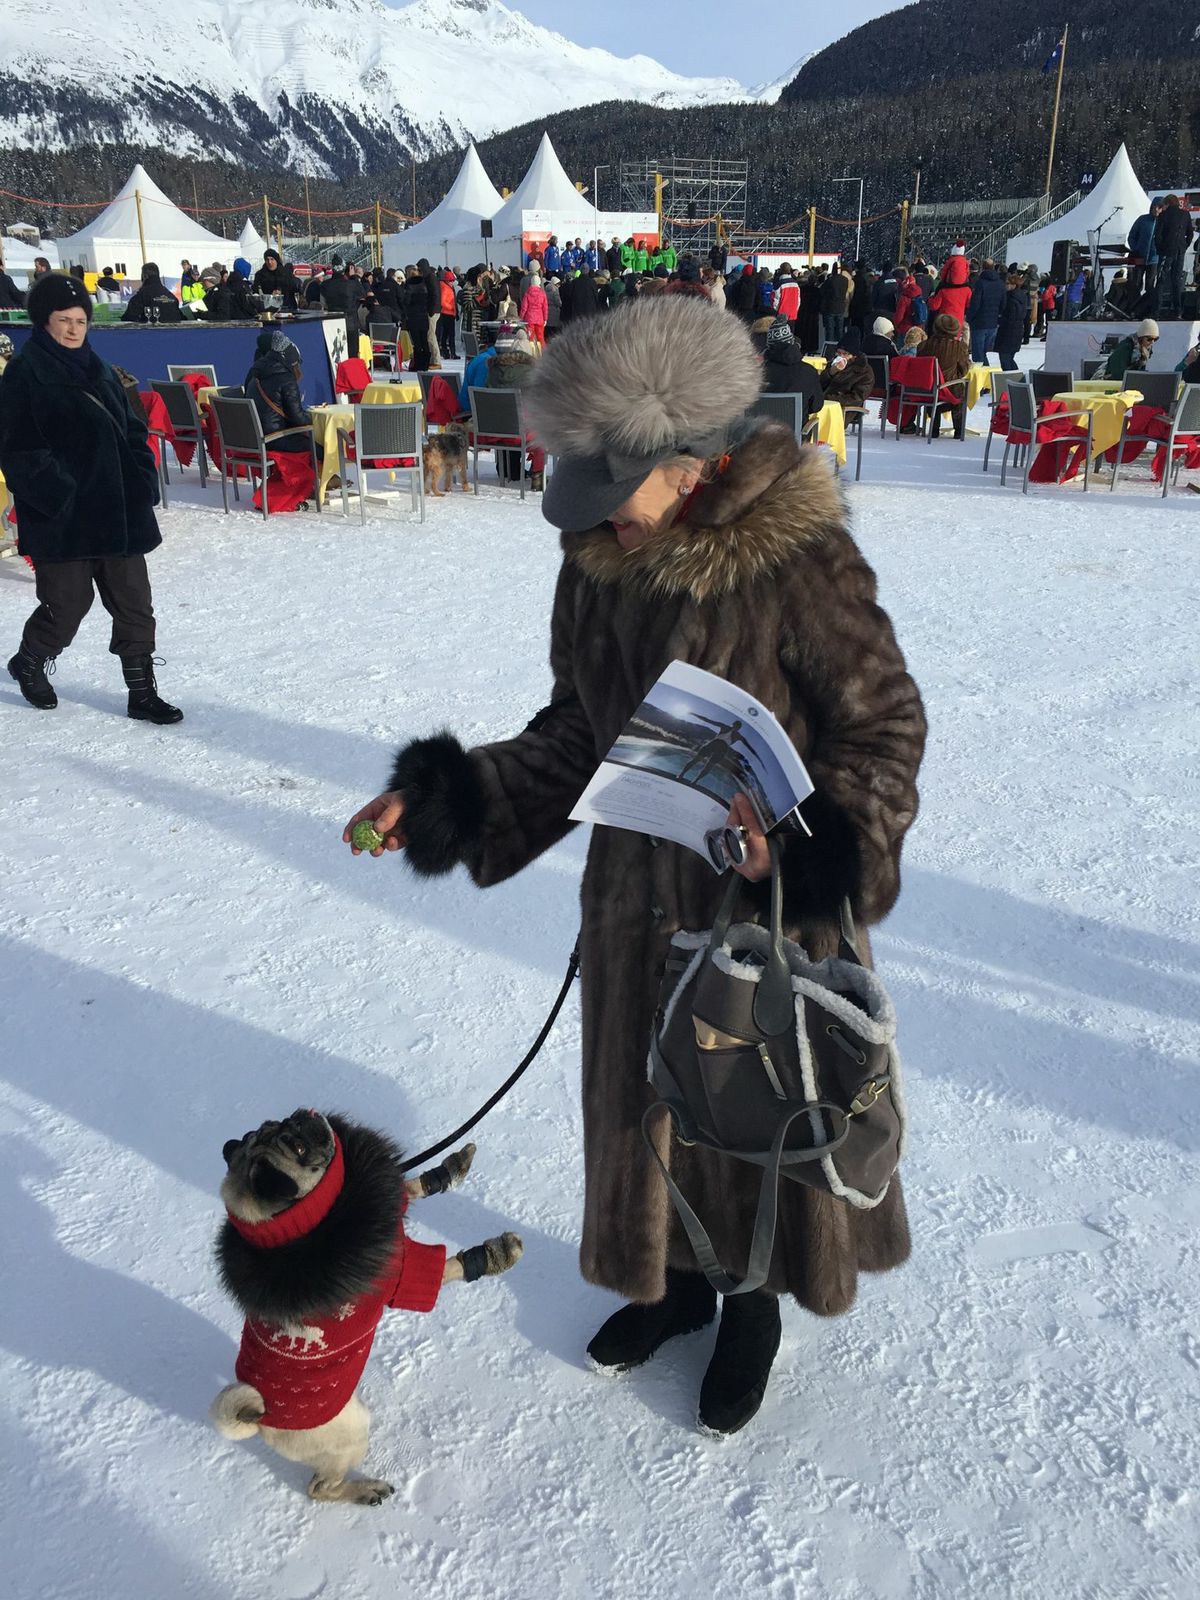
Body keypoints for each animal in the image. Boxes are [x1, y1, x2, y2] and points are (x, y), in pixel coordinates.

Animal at [211, 1107, 521, 1504]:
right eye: (297, 1148)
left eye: (278, 1125)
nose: (304, 1115)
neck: (301, 1228)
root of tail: (257, 1420)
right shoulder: (404, 1273)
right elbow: (447, 1267)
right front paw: (492, 1255)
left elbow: (407, 1188)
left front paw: (447, 1170)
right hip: (351, 1436)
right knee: (319, 1489)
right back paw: (365, 1492)